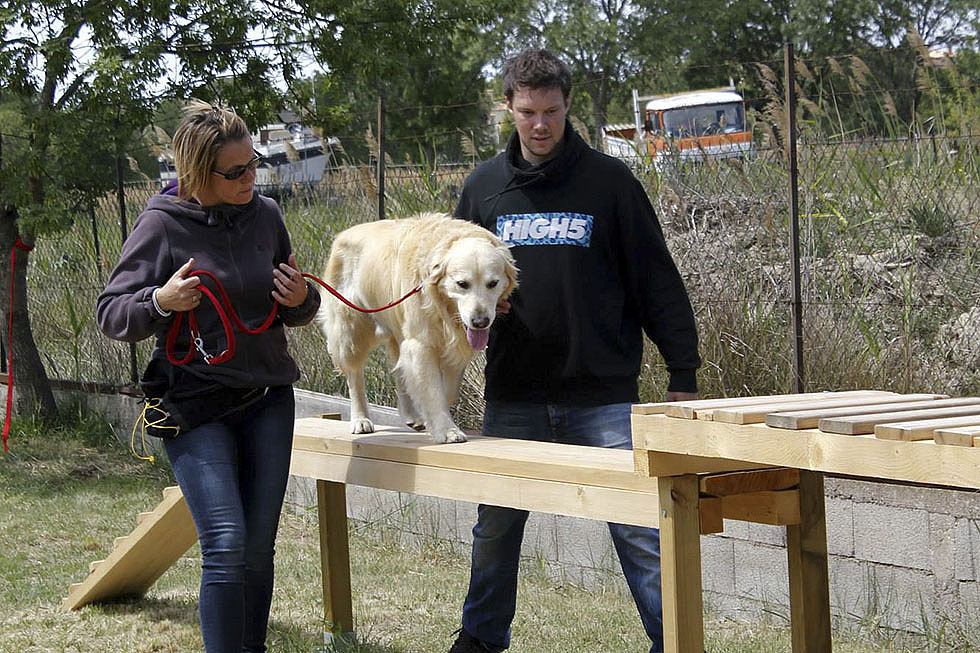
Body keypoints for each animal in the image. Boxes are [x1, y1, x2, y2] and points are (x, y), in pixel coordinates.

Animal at [320, 213, 520, 444]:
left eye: (493, 283)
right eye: (462, 284)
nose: (480, 321)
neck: (442, 305)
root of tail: (343, 234)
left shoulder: (451, 345)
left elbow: (446, 389)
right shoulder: (421, 343)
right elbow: (433, 390)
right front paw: (447, 430)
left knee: (399, 370)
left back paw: (411, 415)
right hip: (351, 330)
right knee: (354, 376)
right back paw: (360, 419)